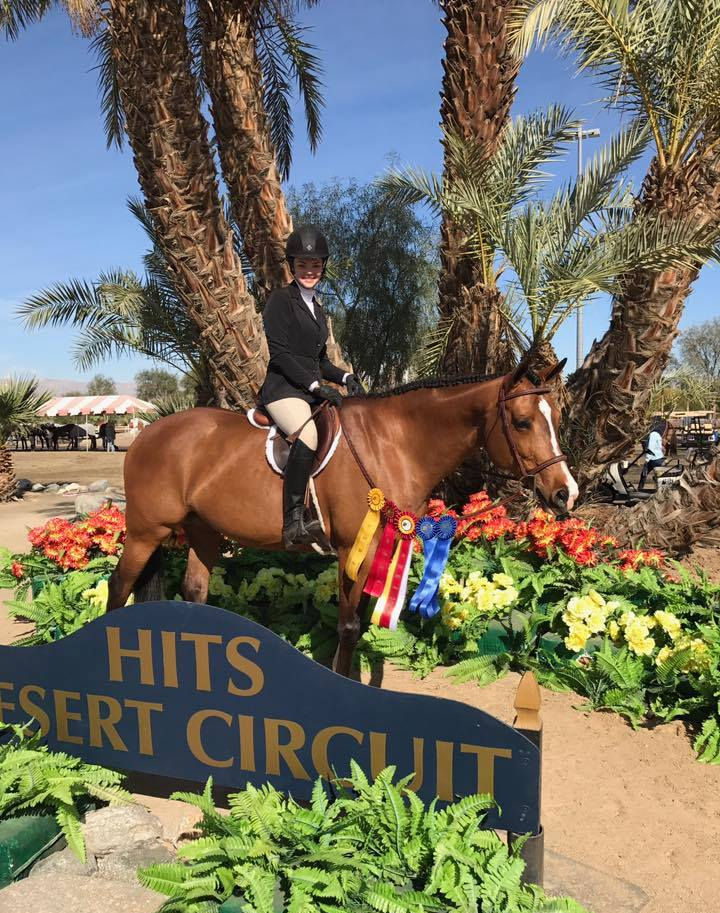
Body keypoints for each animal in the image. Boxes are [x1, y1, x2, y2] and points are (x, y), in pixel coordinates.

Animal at [107, 361, 578, 677]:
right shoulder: (354, 549)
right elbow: (349, 626)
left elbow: (360, 621)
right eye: (522, 422)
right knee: (118, 587)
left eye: (559, 418)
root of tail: (147, 434)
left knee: (194, 590)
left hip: (202, 532)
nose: (565, 493)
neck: (394, 442)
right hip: (146, 532)